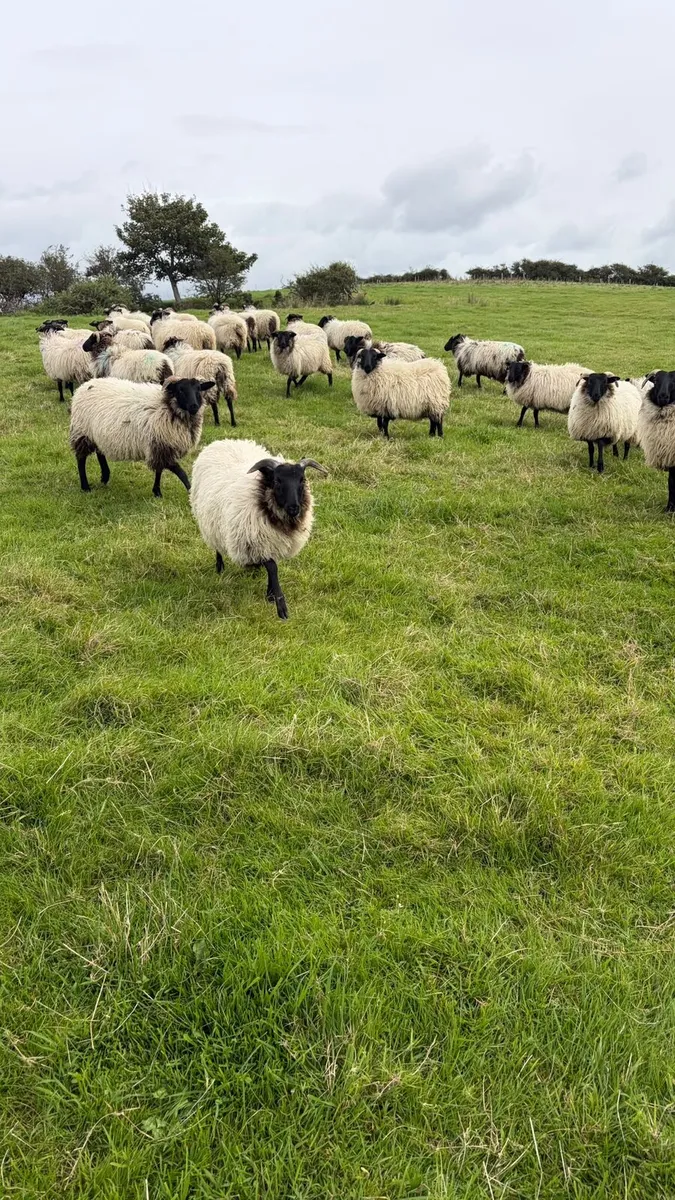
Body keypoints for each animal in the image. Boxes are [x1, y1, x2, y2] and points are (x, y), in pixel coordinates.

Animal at [69, 375, 214, 497]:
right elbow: (180, 472)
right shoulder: (161, 446)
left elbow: (159, 470)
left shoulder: (160, 446)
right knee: (81, 459)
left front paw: (157, 492)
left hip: (98, 433)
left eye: (199, 389)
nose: (194, 406)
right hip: (82, 432)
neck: (168, 407)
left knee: (100, 453)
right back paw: (85, 486)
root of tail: (84, 386)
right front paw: (190, 491)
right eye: (180, 390)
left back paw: (105, 477)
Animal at [190, 437, 327, 619]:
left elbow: (273, 566)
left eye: (302, 480)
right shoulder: (254, 543)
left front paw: (270, 595)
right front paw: (280, 606)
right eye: (277, 481)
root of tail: (222, 441)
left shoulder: (273, 542)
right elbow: (272, 567)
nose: (294, 508)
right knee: (216, 545)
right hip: (211, 522)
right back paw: (220, 567)